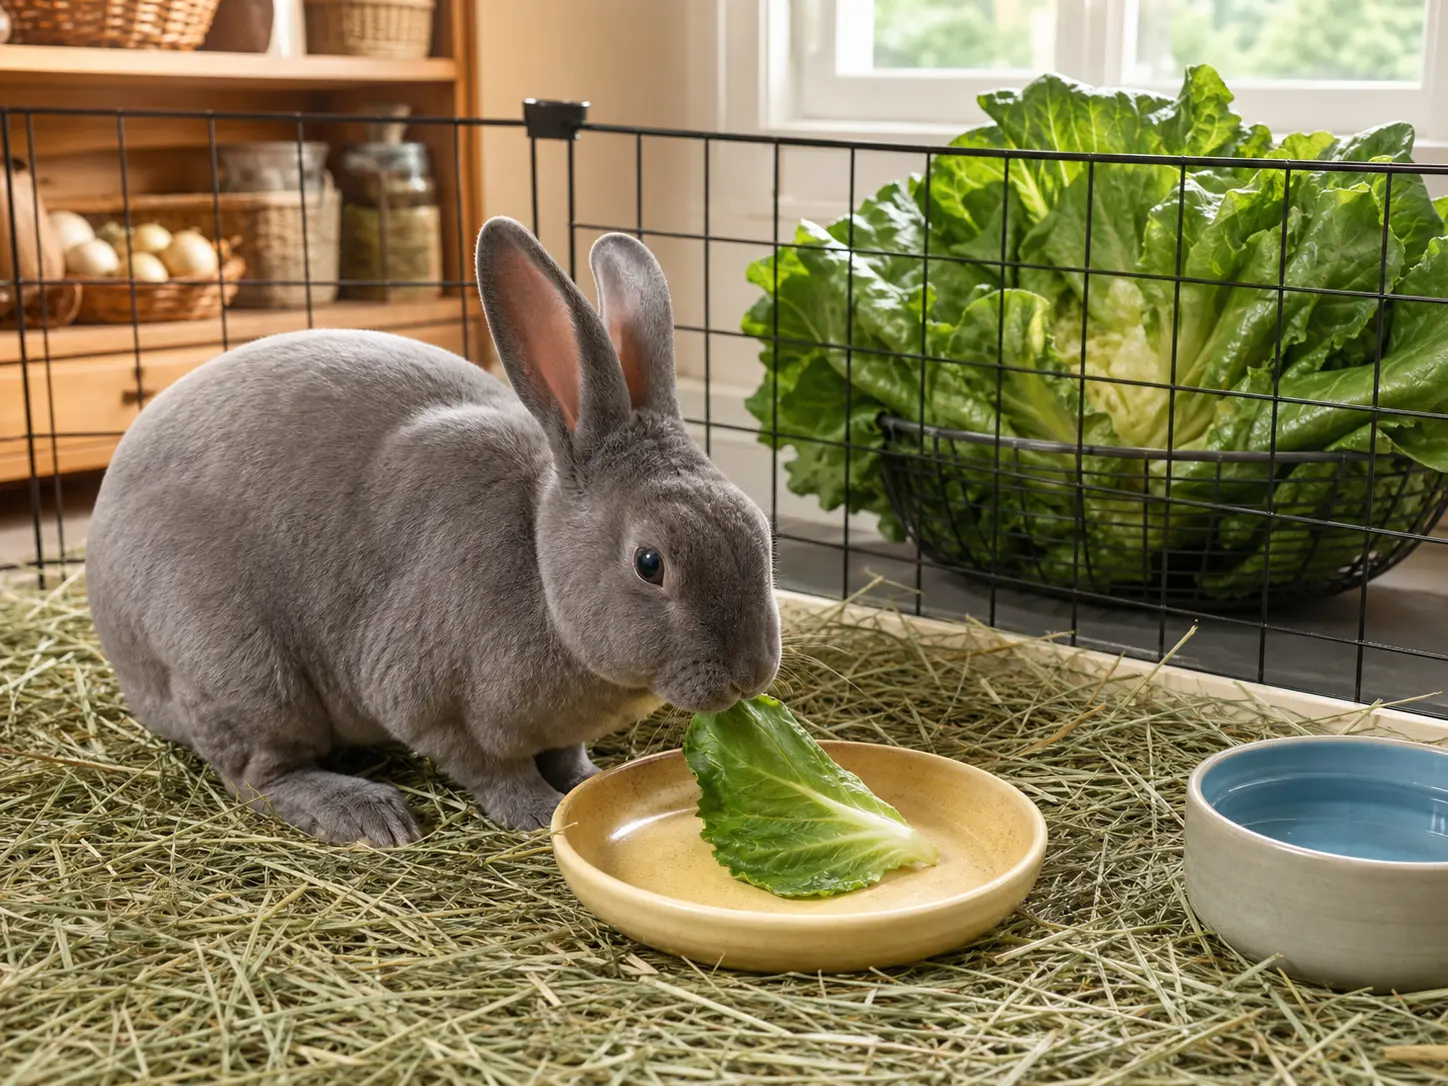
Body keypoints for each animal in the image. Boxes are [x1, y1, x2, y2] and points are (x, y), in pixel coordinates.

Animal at [84, 216, 782, 845]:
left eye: (759, 528)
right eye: (649, 563)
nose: (750, 673)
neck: (540, 567)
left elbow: (564, 754)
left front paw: (583, 781)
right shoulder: (430, 703)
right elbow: (490, 768)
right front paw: (536, 813)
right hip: (241, 671)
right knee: (258, 772)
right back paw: (365, 812)